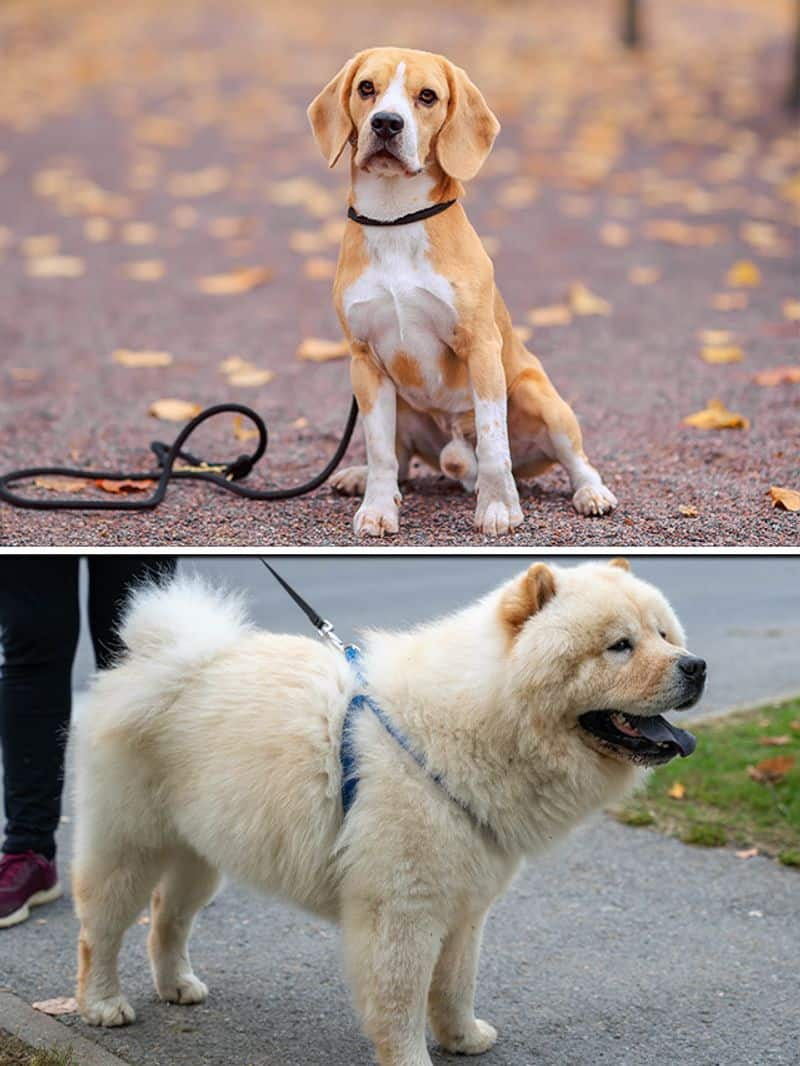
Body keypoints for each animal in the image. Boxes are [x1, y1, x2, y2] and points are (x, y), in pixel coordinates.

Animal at [72, 558, 704, 1066]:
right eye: (619, 645)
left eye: (664, 634)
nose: (695, 665)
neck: (466, 729)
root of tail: (156, 658)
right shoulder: (402, 908)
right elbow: (402, 1001)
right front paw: (413, 1059)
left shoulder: (466, 905)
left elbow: (455, 984)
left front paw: (464, 1038)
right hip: (129, 845)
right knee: (101, 929)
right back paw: (103, 1004)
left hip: (202, 853)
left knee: (168, 918)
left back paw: (177, 985)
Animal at [309, 45, 618, 537]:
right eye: (366, 88)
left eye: (428, 96)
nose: (386, 123)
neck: (396, 218)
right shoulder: (364, 362)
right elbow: (379, 450)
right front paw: (377, 508)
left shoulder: (481, 348)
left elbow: (493, 442)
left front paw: (498, 508)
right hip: (401, 403)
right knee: (399, 460)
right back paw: (364, 479)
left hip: (539, 396)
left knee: (576, 460)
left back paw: (591, 493)